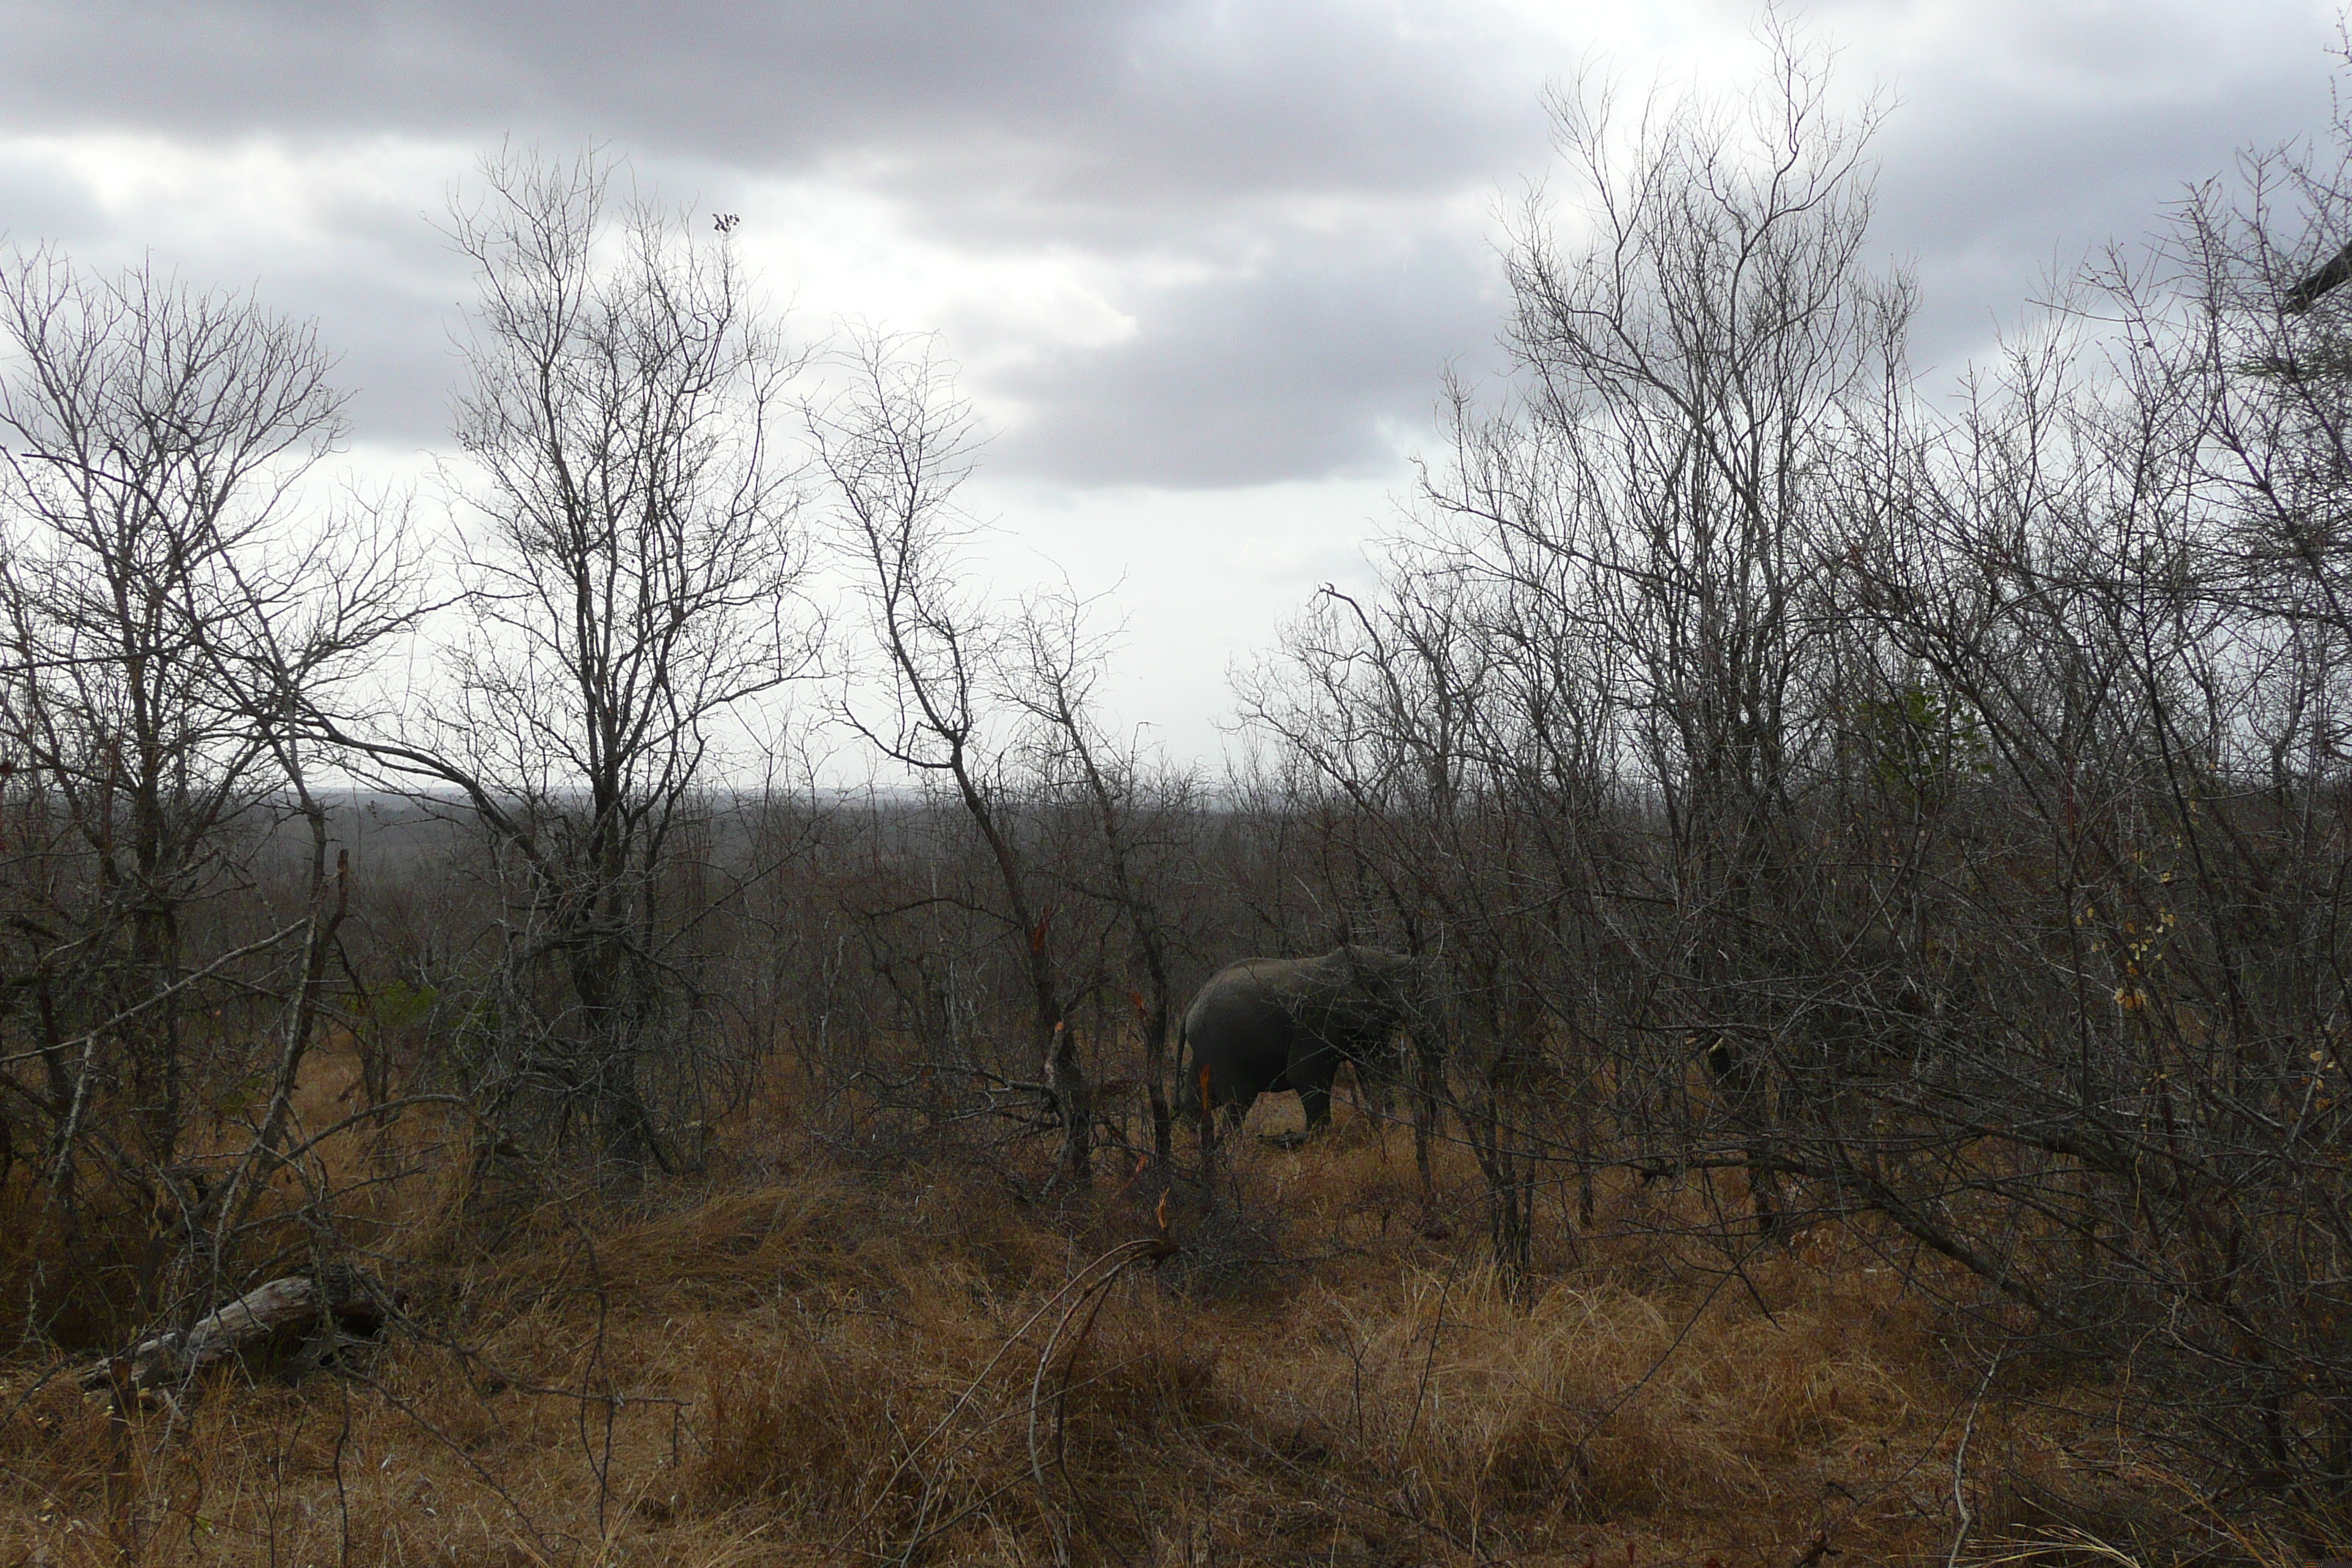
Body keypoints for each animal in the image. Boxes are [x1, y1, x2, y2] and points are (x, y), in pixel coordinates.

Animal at [1176, 945, 1411, 1128]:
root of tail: (1192, 1004)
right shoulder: (1317, 1018)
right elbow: (1304, 1075)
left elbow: (1372, 1066)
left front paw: (1387, 1127)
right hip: (1221, 1048)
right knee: (1239, 1100)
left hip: (1205, 1048)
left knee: (1197, 1101)